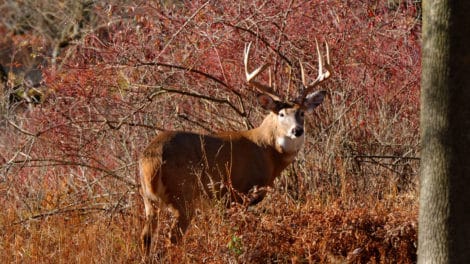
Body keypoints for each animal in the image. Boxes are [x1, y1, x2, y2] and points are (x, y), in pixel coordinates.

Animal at [140, 40, 330, 255]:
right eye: (281, 114)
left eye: (302, 113)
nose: (297, 130)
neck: (268, 151)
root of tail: (151, 160)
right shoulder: (239, 193)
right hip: (183, 195)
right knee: (172, 239)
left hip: (149, 200)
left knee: (146, 237)